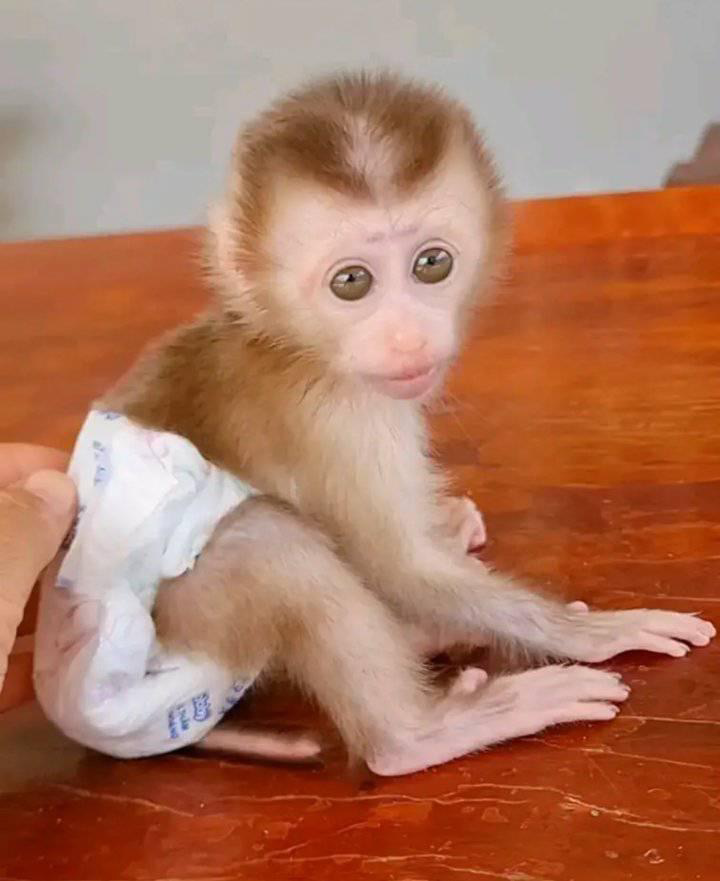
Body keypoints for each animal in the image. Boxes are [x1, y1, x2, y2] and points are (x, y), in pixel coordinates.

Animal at [99, 71, 715, 776]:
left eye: (432, 265)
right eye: (351, 281)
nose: (407, 338)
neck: (293, 348)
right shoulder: (345, 417)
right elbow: (397, 565)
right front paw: (589, 632)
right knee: (264, 540)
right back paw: (420, 734)